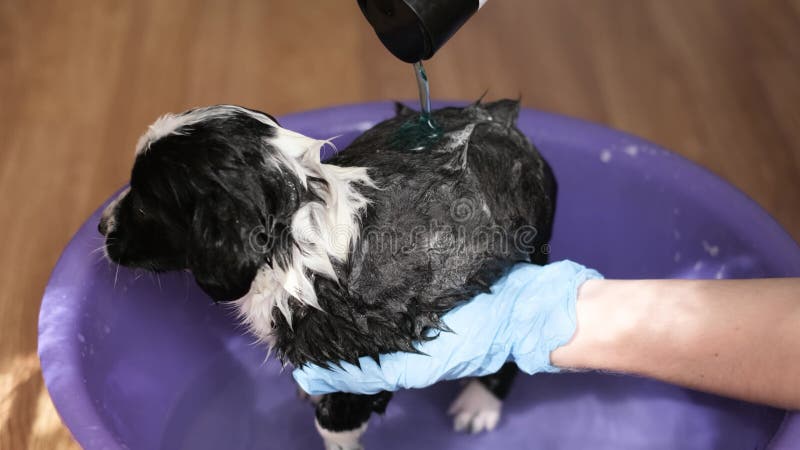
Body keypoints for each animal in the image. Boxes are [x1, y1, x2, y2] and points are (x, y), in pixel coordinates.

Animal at [98, 100, 556, 448]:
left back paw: (478, 406)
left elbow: (335, 424)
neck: (294, 245)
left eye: (144, 205)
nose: (101, 226)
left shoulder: (361, 354)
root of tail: (499, 119)